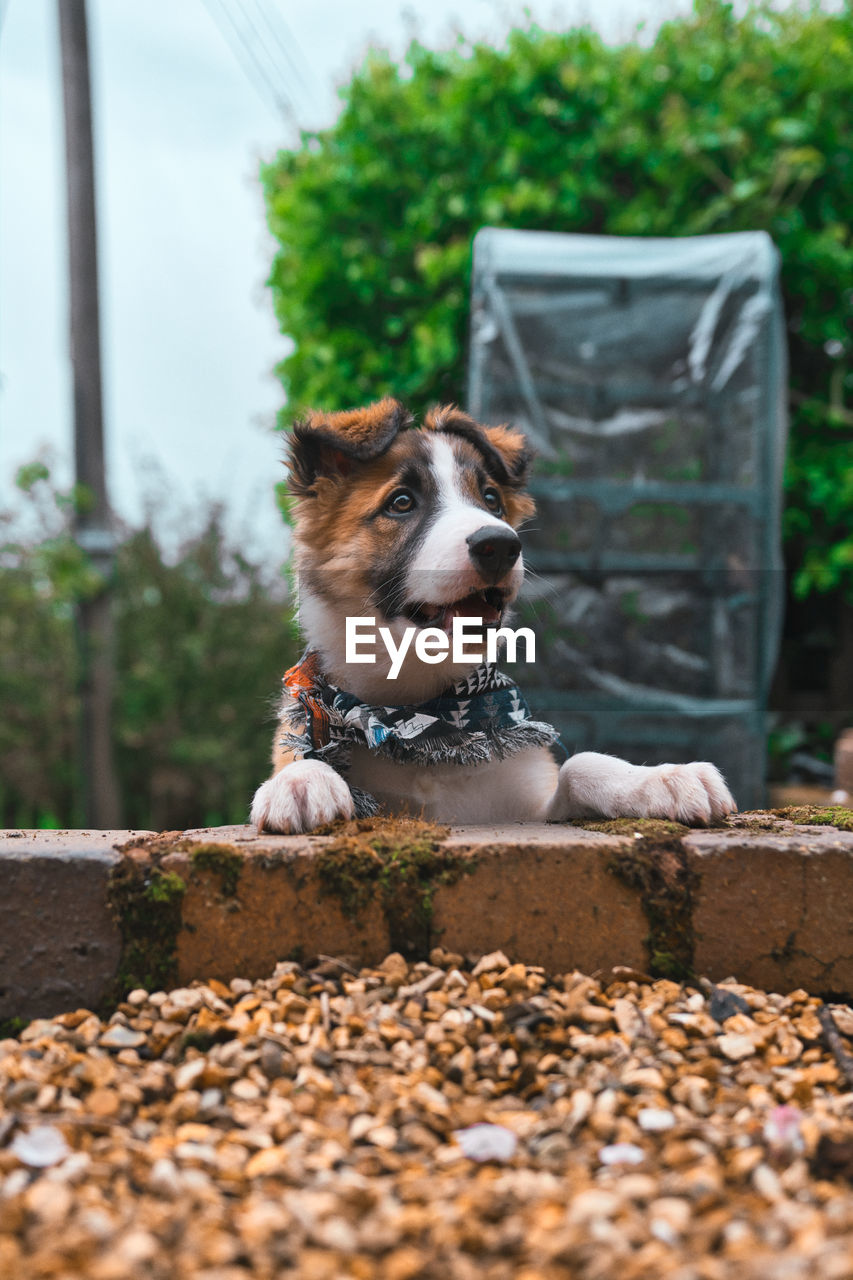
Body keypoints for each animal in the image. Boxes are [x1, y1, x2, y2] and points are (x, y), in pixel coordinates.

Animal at [249, 404, 732, 834]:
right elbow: (305, 755)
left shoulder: (528, 805)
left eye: (491, 500)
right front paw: (302, 778)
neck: (423, 721)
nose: (499, 546)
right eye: (401, 502)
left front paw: (665, 778)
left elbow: (580, 764)